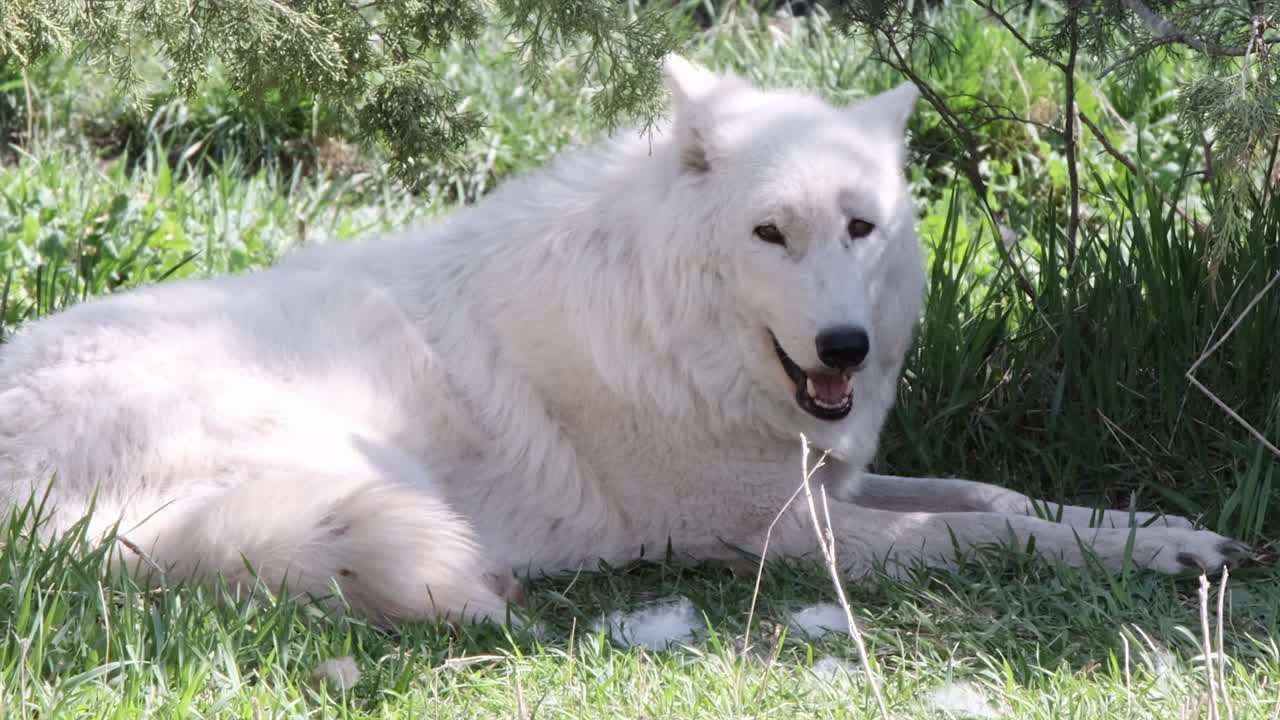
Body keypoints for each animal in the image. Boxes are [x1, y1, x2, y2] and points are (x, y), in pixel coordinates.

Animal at [0, 57, 1249, 624]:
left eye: (858, 227)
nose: (843, 348)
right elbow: (985, 533)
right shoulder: (782, 534)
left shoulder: (826, 477)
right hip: (363, 463)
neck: (670, 340)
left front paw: (1168, 532)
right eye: (769, 233)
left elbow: (1000, 496)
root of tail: (36, 530)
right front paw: (1144, 555)